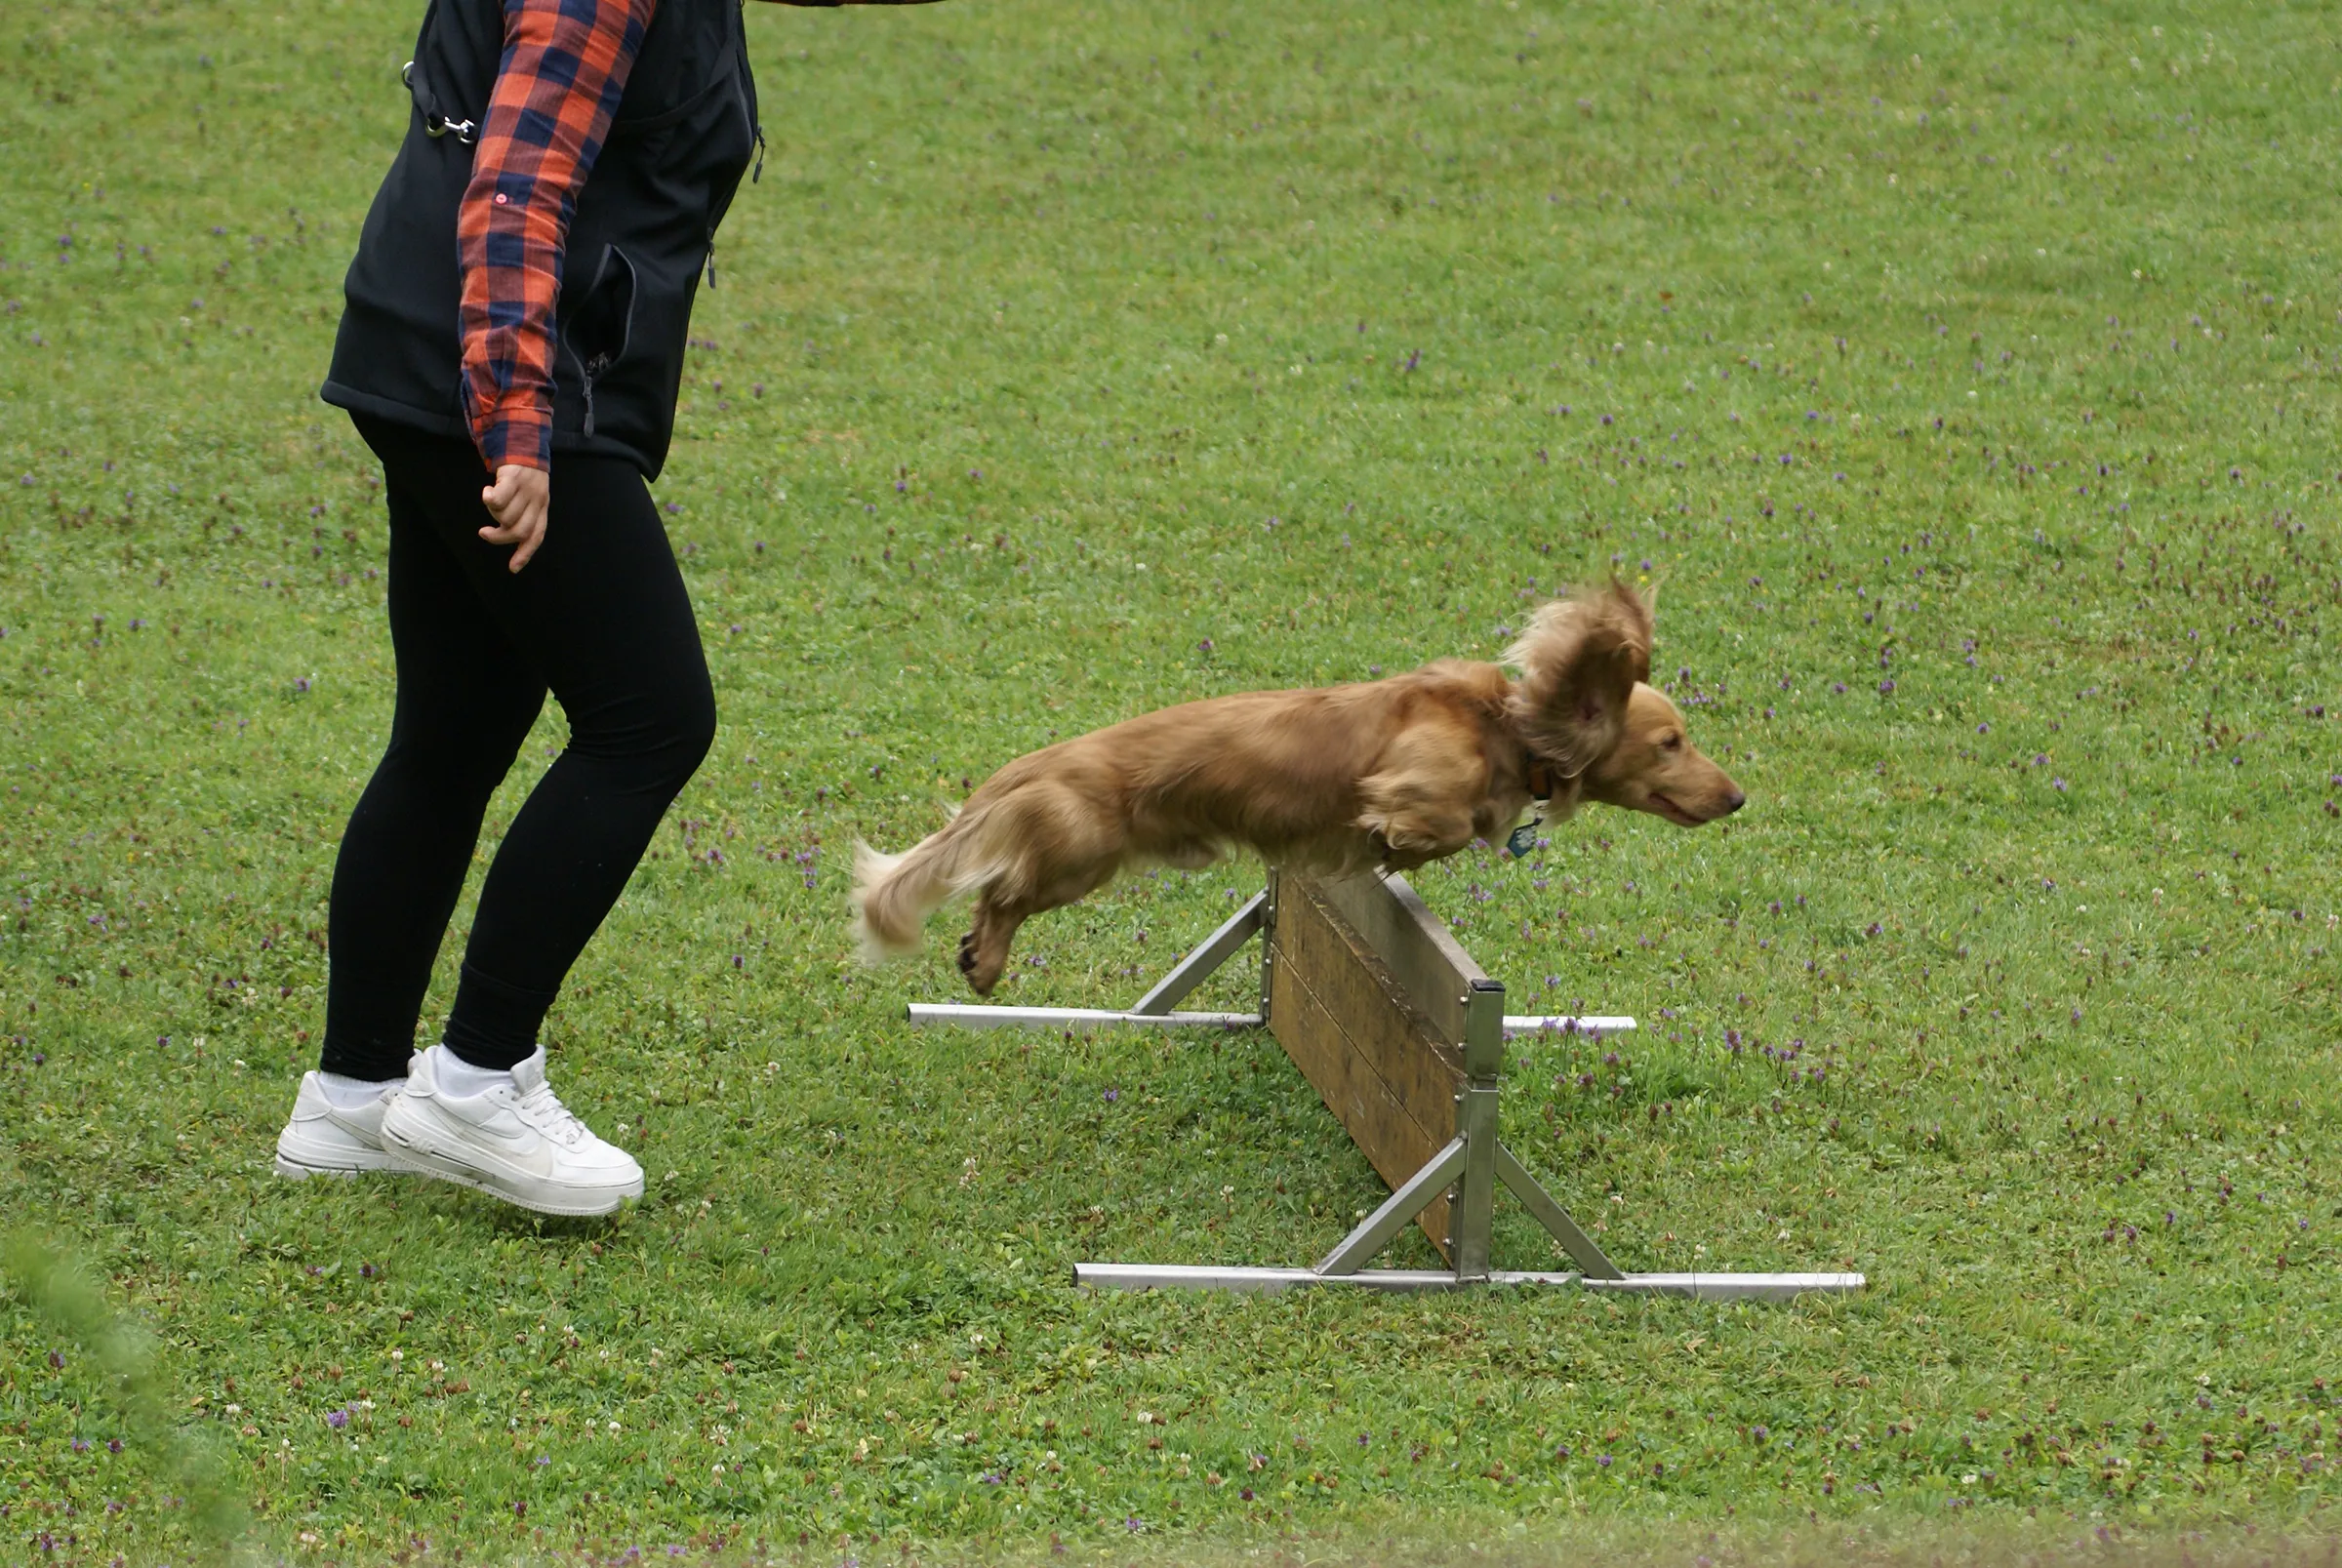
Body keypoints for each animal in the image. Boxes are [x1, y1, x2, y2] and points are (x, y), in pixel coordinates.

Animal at [857, 578, 1742, 996]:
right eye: (1671, 742)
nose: (1737, 798)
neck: (1508, 725)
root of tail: (1032, 765)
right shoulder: (1410, 781)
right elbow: (1441, 823)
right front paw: (1402, 839)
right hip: (1081, 855)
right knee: (1001, 892)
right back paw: (986, 960)